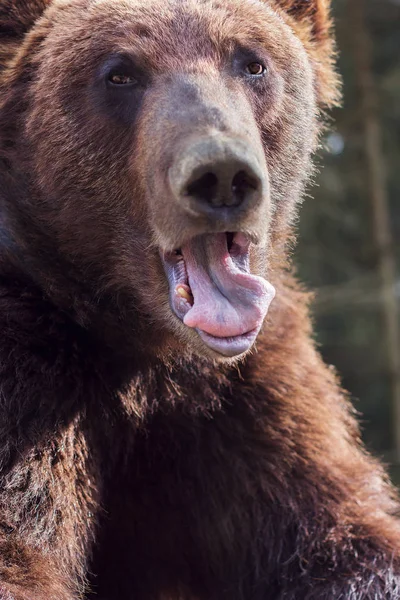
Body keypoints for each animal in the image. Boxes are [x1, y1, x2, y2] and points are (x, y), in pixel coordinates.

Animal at [0, 0, 400, 596]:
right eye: (119, 73)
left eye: (253, 63)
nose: (223, 175)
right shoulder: (31, 374)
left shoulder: (251, 402)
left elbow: (343, 541)